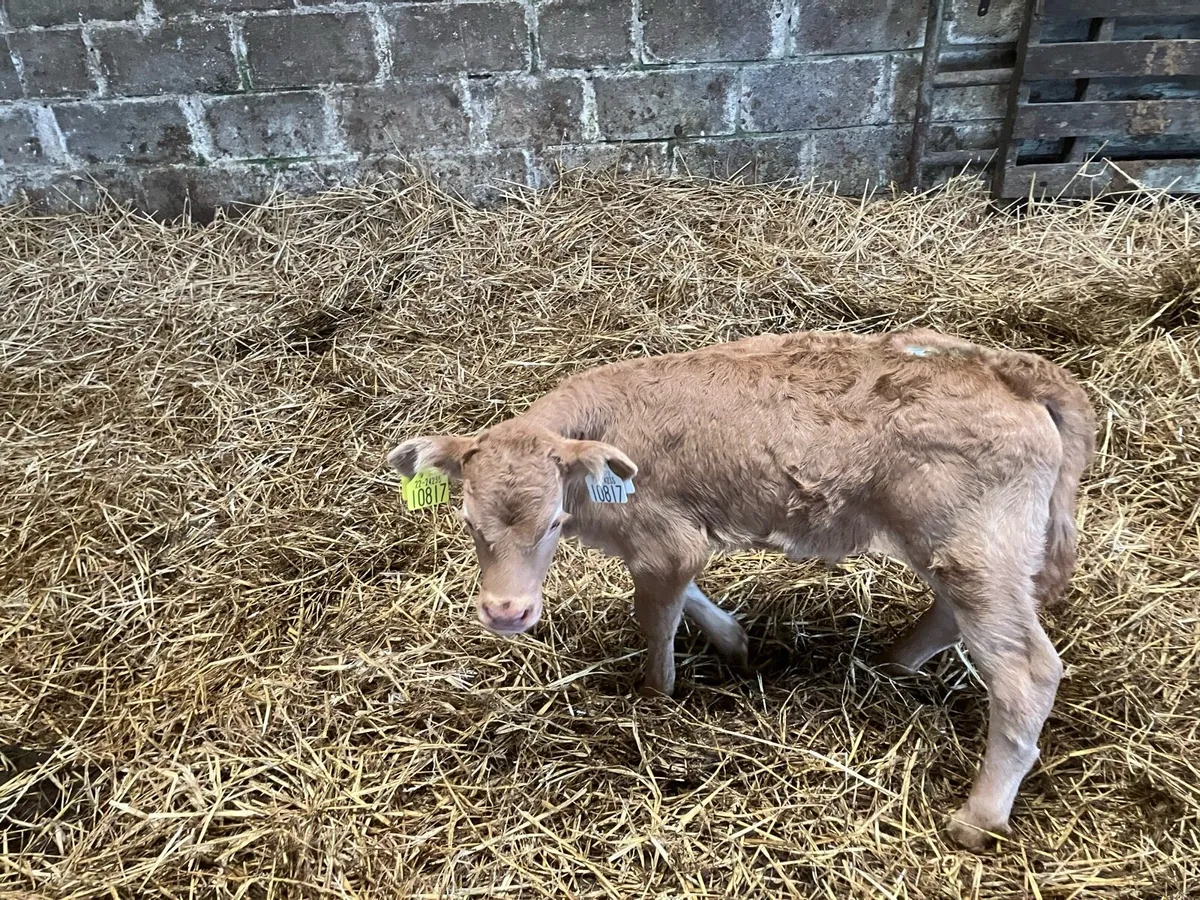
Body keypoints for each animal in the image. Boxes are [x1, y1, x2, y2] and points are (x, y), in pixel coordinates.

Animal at [387, 327, 1095, 851]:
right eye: (468, 523)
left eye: (553, 522)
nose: (506, 611)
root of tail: (1010, 370)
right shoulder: (670, 545)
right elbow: (688, 597)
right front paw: (734, 642)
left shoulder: (665, 541)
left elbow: (658, 621)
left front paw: (655, 697)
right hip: (962, 548)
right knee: (955, 617)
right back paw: (890, 664)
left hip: (975, 547)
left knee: (1025, 670)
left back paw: (979, 817)